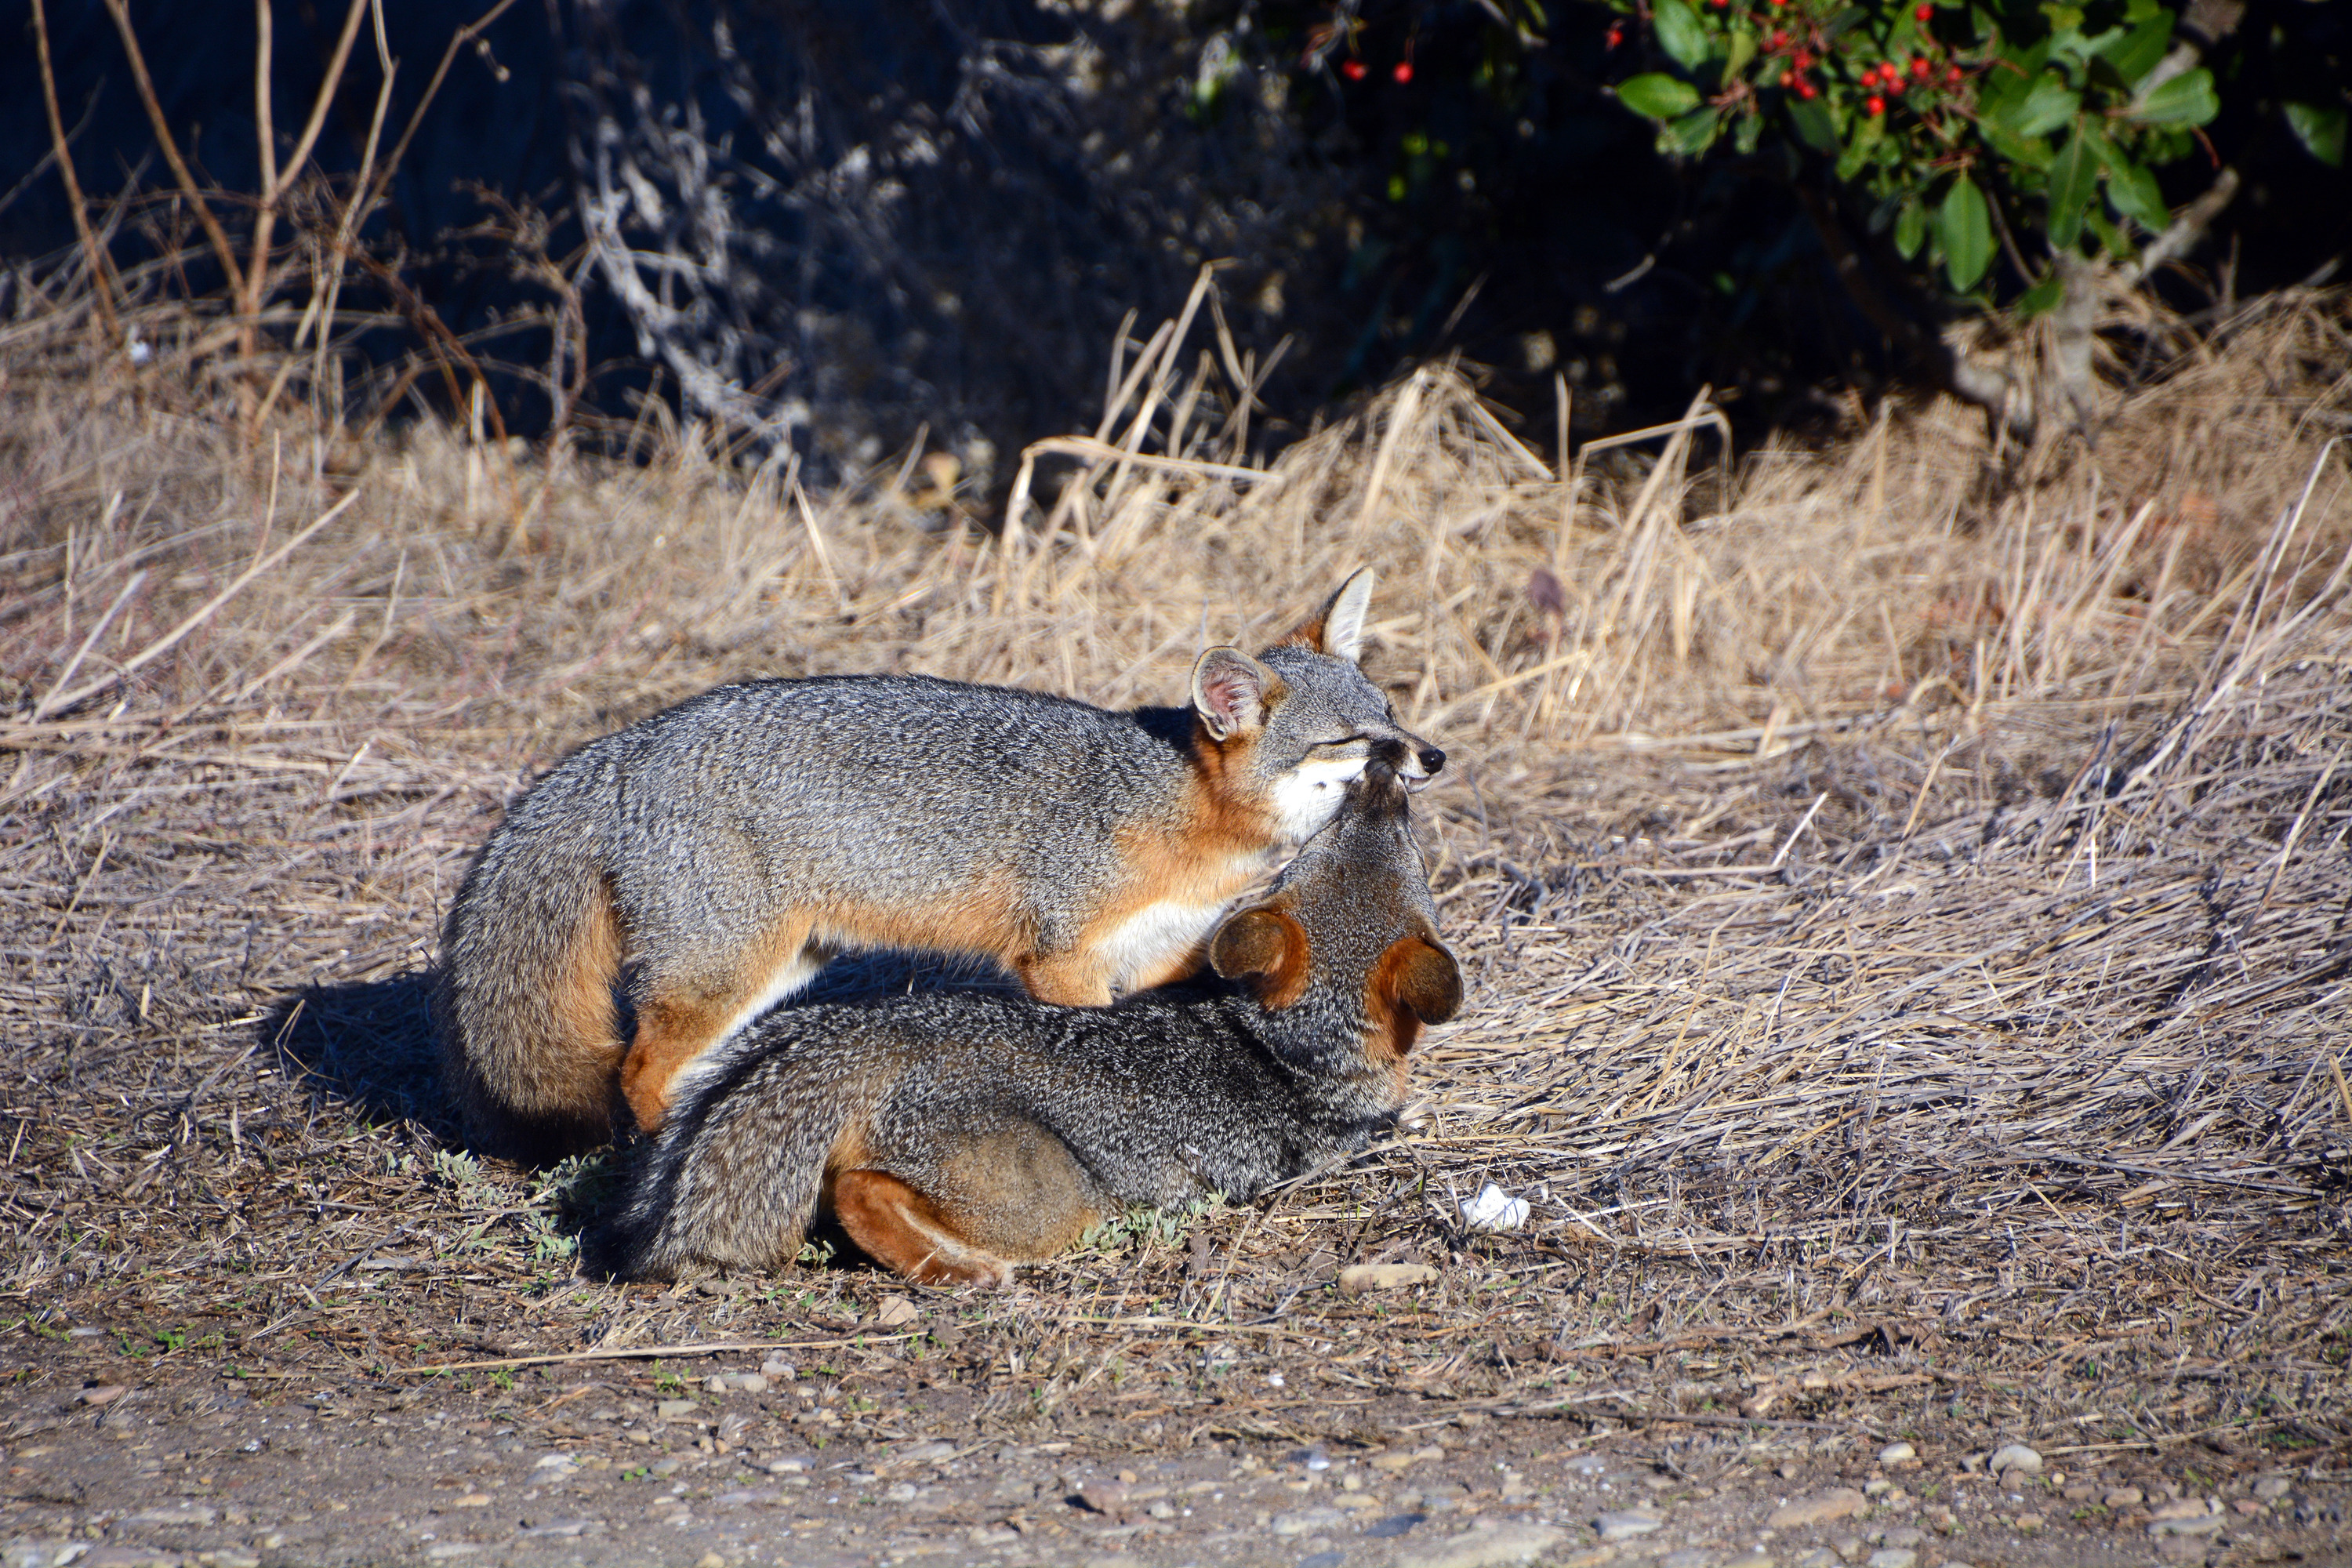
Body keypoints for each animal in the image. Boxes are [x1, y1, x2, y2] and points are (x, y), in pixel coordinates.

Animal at [435, 569, 1446, 1161]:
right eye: (1354, 740)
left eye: (1392, 714)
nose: (1433, 756)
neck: (1178, 811)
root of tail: (629, 744)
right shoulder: (1060, 958)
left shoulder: (1164, 953)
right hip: (719, 971)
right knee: (636, 1069)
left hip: (776, 970)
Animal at [597, 762, 1461, 1287]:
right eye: (1404, 848)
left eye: (1353, 835)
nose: (1382, 776)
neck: (1290, 1043)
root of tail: (883, 1030)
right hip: (1052, 1198)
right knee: (858, 1190)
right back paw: (958, 1270)